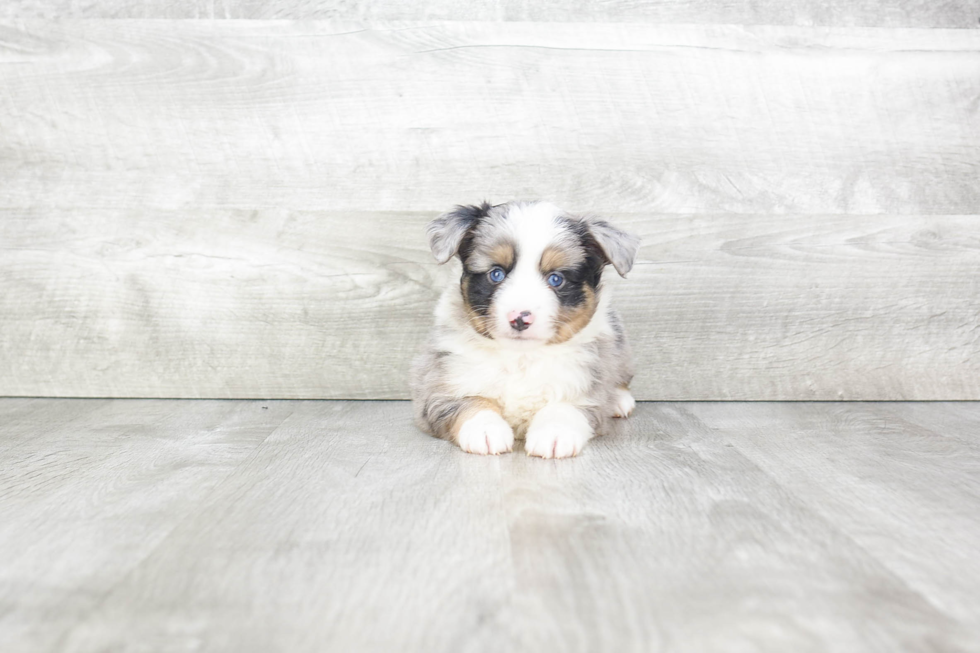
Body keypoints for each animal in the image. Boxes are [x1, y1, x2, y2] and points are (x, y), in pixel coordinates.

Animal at [410, 200, 640, 458]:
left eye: (556, 279)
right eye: (496, 274)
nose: (520, 318)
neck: (521, 357)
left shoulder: (587, 383)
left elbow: (568, 405)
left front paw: (555, 433)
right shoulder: (437, 388)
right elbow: (470, 402)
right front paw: (485, 429)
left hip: (621, 347)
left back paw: (619, 400)